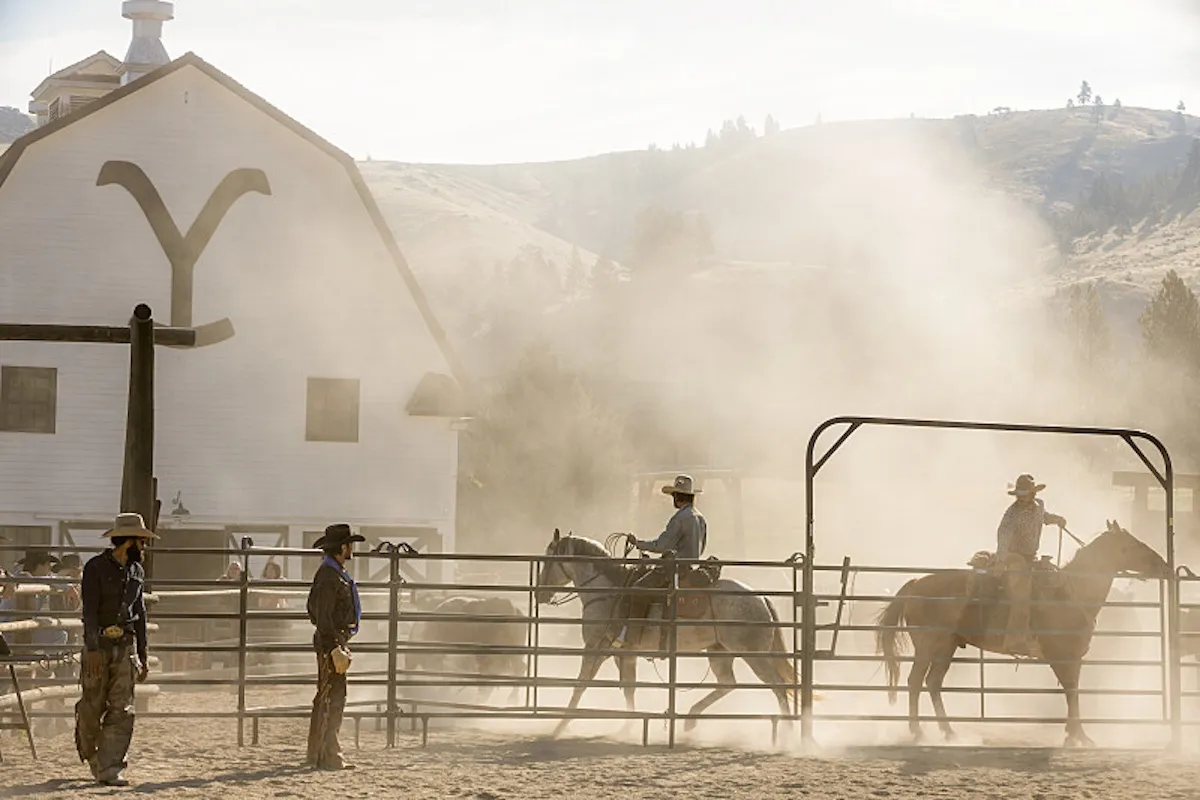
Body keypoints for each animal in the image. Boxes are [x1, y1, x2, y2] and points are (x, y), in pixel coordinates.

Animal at [535, 527, 796, 743]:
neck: (608, 592)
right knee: (727, 683)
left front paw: (558, 727)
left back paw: (787, 734)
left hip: (754, 655)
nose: (539, 594)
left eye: (548, 560)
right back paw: (690, 719)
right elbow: (629, 687)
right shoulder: (624, 652)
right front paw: (626, 728)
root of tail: (761, 598)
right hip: (719, 651)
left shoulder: (595, 646)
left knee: (779, 686)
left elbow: (580, 686)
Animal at [878, 522, 1166, 748]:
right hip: (927, 645)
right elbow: (1071, 690)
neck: (1070, 593)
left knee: (933, 682)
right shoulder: (1061, 655)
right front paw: (1079, 736)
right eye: (1135, 545)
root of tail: (915, 583)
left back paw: (949, 733)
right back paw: (918, 732)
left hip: (946, 646)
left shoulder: (1074, 657)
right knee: (915, 681)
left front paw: (1075, 734)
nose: (1163, 565)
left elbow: (1073, 690)